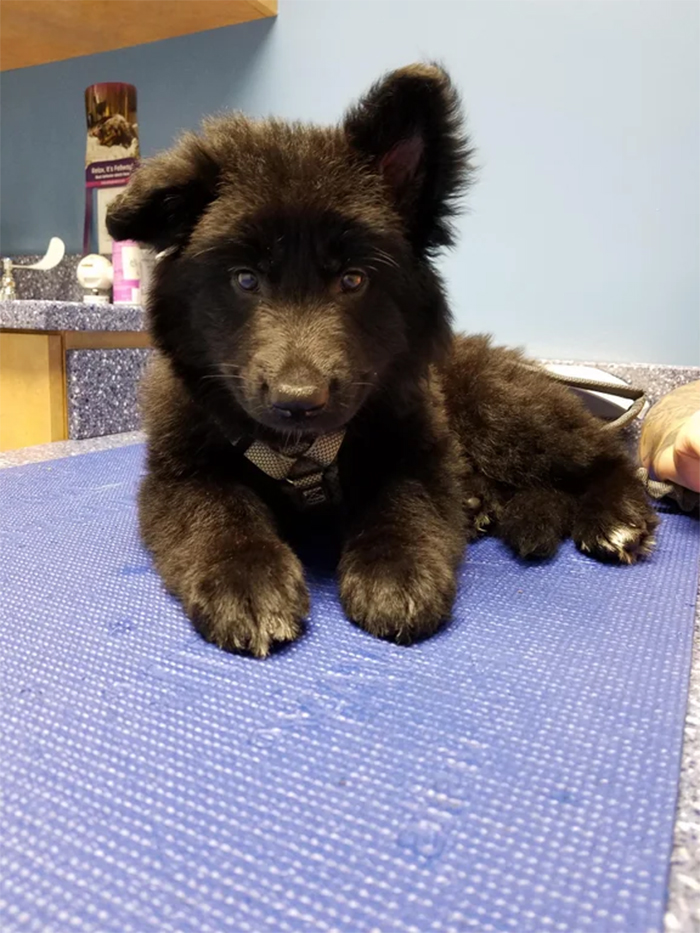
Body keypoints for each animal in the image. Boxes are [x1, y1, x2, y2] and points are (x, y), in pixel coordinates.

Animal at [105, 63, 656, 656]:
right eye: (245, 280)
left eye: (353, 279)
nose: (299, 401)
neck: (301, 452)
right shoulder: (179, 474)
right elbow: (216, 513)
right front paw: (245, 578)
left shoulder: (418, 450)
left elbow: (402, 503)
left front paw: (397, 570)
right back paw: (483, 506)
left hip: (505, 414)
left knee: (607, 458)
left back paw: (615, 516)